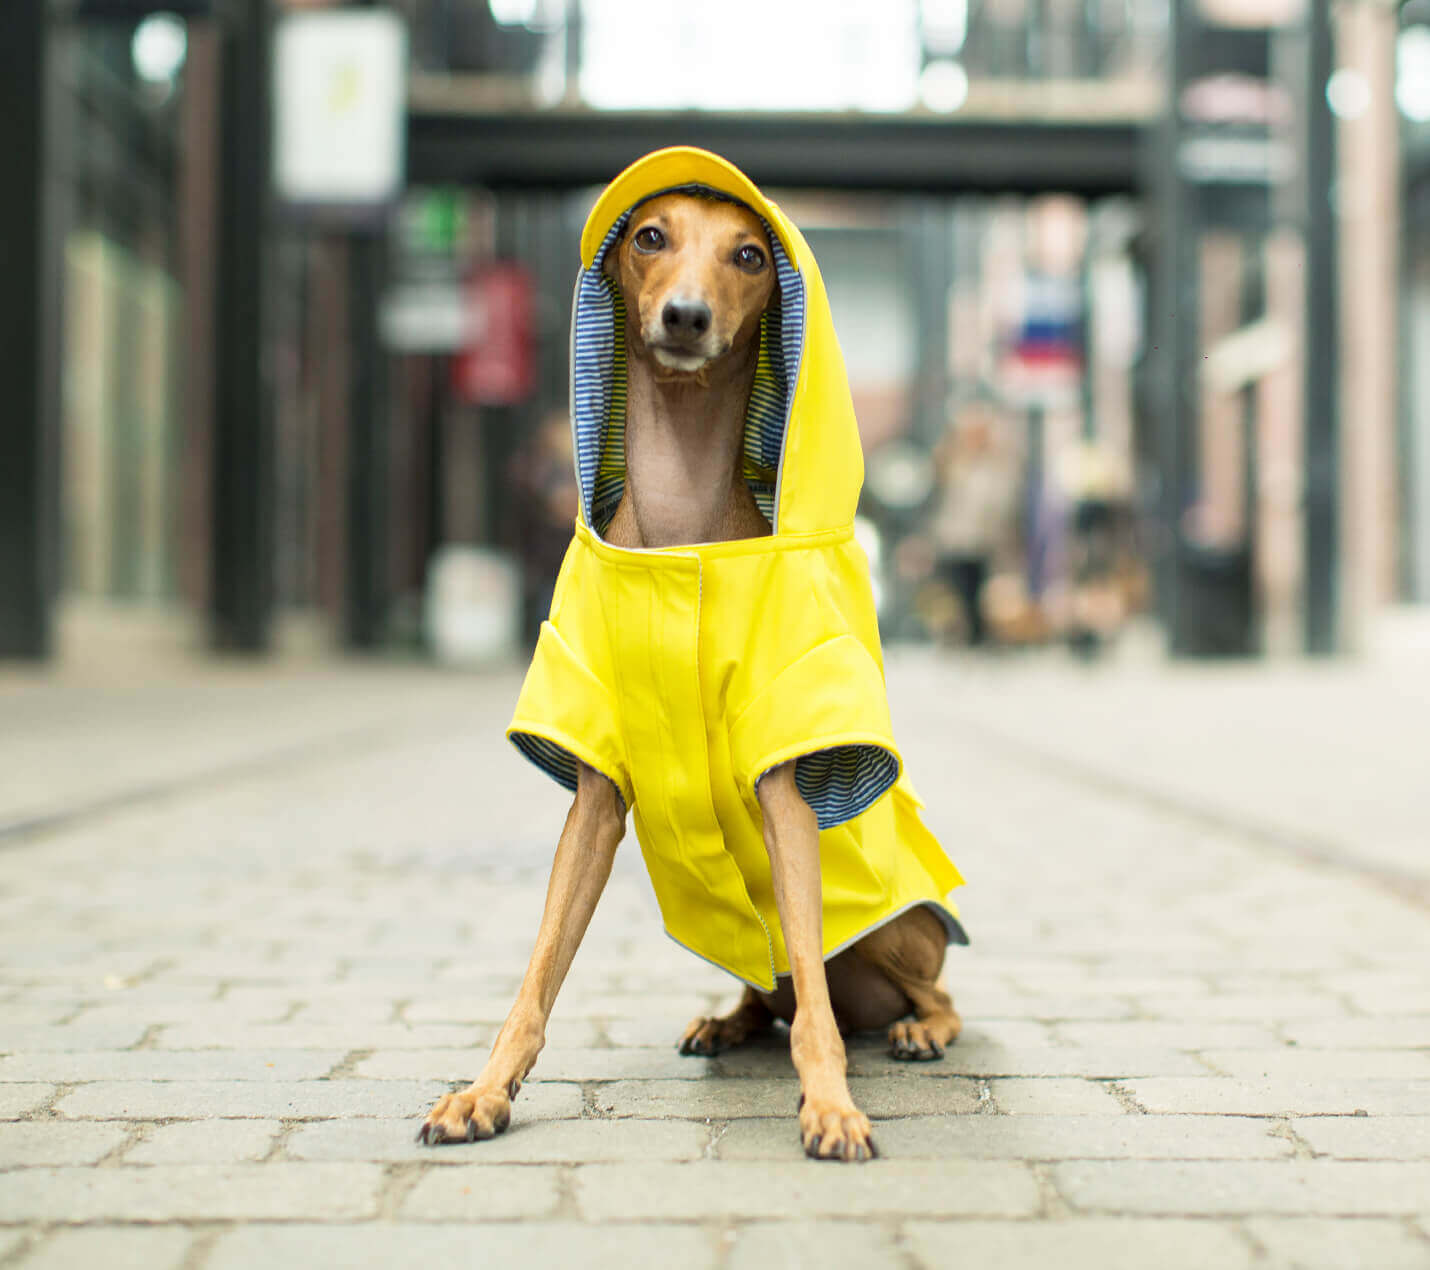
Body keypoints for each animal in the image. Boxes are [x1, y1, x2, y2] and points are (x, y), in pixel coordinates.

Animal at [417, 151, 966, 1161]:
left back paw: (917, 1030)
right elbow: (539, 971)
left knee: (895, 992)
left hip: (896, 934)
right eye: (649, 235)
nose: (685, 317)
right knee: (775, 992)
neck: (680, 543)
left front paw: (832, 1106)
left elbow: (817, 1011)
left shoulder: (785, 789)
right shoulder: (594, 798)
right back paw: (725, 1021)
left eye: (749, 253)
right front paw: (483, 1092)